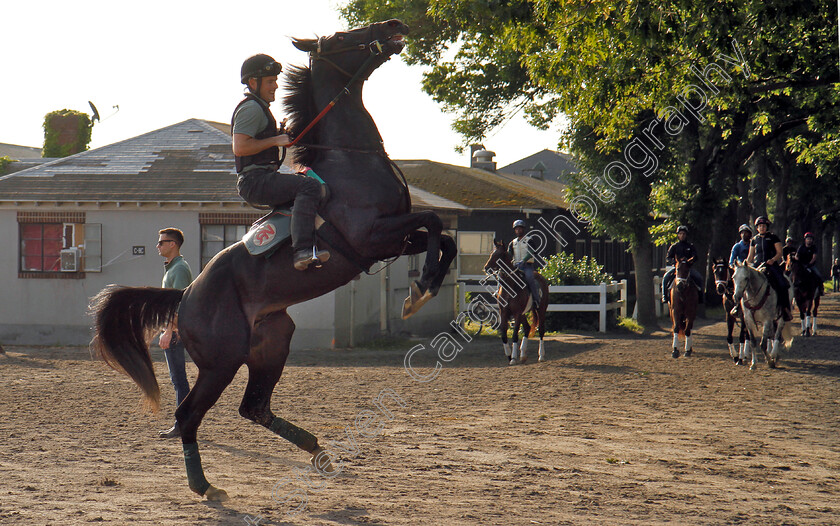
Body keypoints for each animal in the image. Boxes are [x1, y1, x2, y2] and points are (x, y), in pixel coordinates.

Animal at [89, 20, 456, 506]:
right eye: (345, 36)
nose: (394, 25)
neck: (349, 158)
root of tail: (186, 295)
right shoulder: (372, 236)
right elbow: (434, 222)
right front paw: (421, 289)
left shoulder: (391, 238)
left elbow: (444, 237)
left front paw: (421, 289)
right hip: (221, 363)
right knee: (189, 415)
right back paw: (206, 486)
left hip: (272, 344)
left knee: (254, 407)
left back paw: (318, 452)